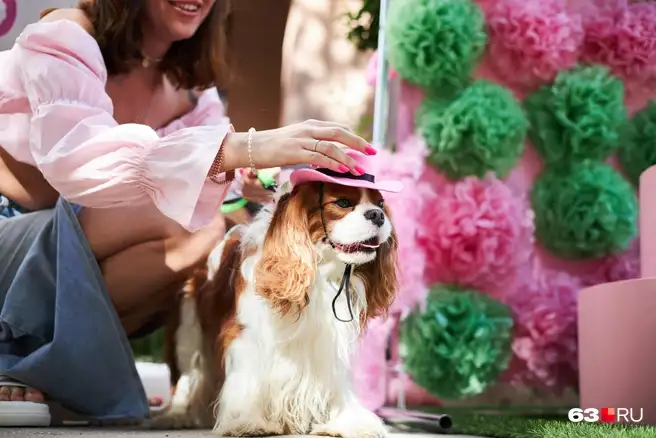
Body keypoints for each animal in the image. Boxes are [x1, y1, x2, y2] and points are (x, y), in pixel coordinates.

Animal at [152, 151, 403, 437]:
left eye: (380, 203)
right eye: (343, 203)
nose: (378, 215)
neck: (319, 271)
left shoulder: (330, 344)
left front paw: (349, 421)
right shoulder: (245, 335)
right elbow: (247, 380)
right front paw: (247, 420)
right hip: (188, 325)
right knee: (185, 375)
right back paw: (176, 415)